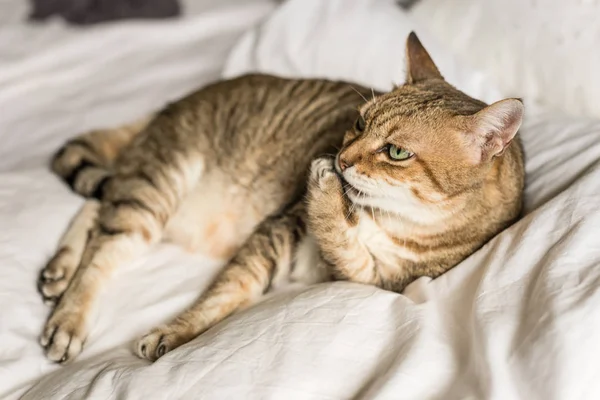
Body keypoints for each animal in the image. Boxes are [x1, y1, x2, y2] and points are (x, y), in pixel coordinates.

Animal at [38, 32, 524, 364]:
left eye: (397, 152)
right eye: (358, 122)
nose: (340, 159)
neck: (397, 223)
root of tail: (169, 106)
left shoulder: (373, 278)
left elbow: (344, 246)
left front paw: (328, 192)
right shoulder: (283, 226)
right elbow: (227, 289)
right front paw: (177, 331)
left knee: (100, 206)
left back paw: (58, 272)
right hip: (159, 183)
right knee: (104, 243)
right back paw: (67, 313)